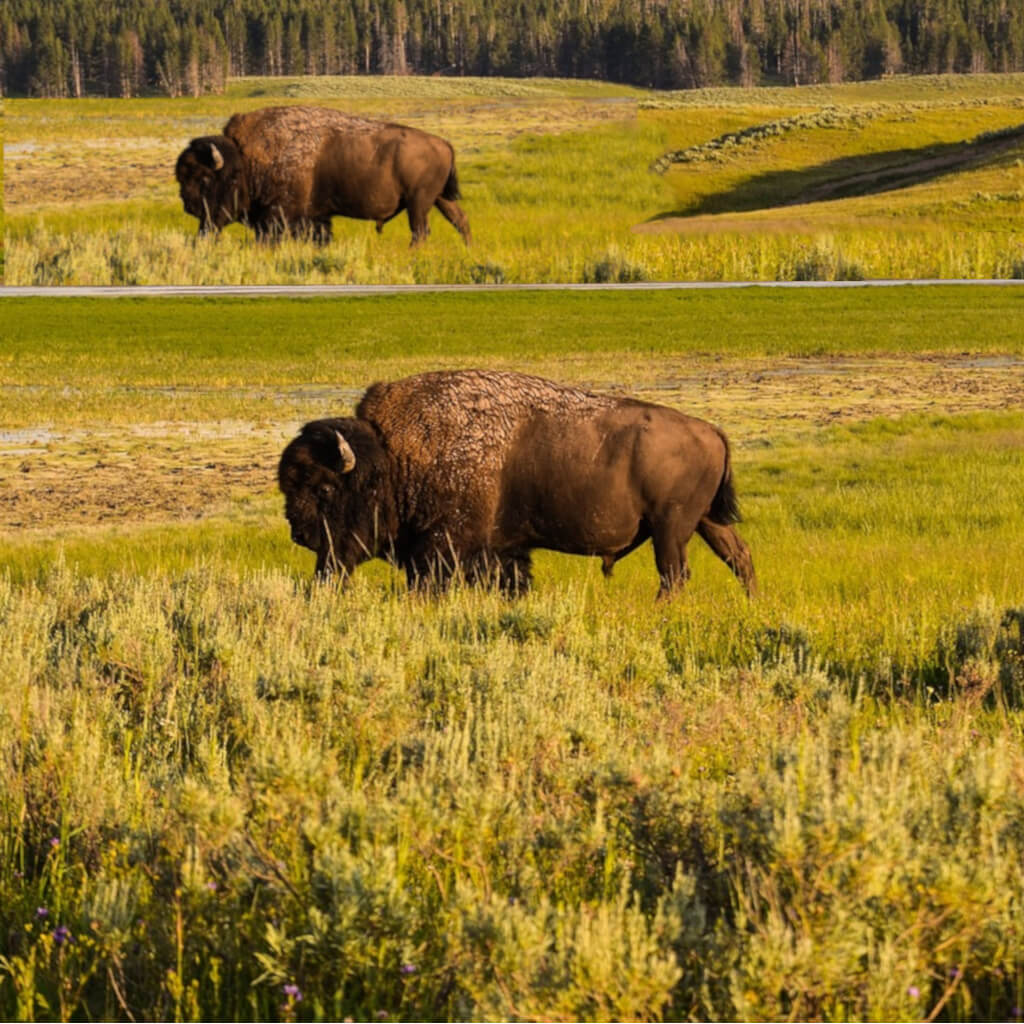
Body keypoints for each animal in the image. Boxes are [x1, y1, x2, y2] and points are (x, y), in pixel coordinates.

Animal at [175, 104, 471, 245]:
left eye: (204, 179)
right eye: (182, 178)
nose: (188, 206)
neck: (247, 161)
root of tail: (445, 144)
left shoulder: (277, 217)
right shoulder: (315, 218)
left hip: (418, 202)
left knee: (421, 231)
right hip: (438, 199)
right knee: (460, 221)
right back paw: (468, 250)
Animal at [276, 370, 757, 598]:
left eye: (324, 489)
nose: (299, 533)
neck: (394, 457)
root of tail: (712, 431)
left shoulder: (441, 549)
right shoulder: (501, 552)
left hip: (670, 528)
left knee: (675, 574)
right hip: (703, 522)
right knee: (738, 557)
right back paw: (752, 602)